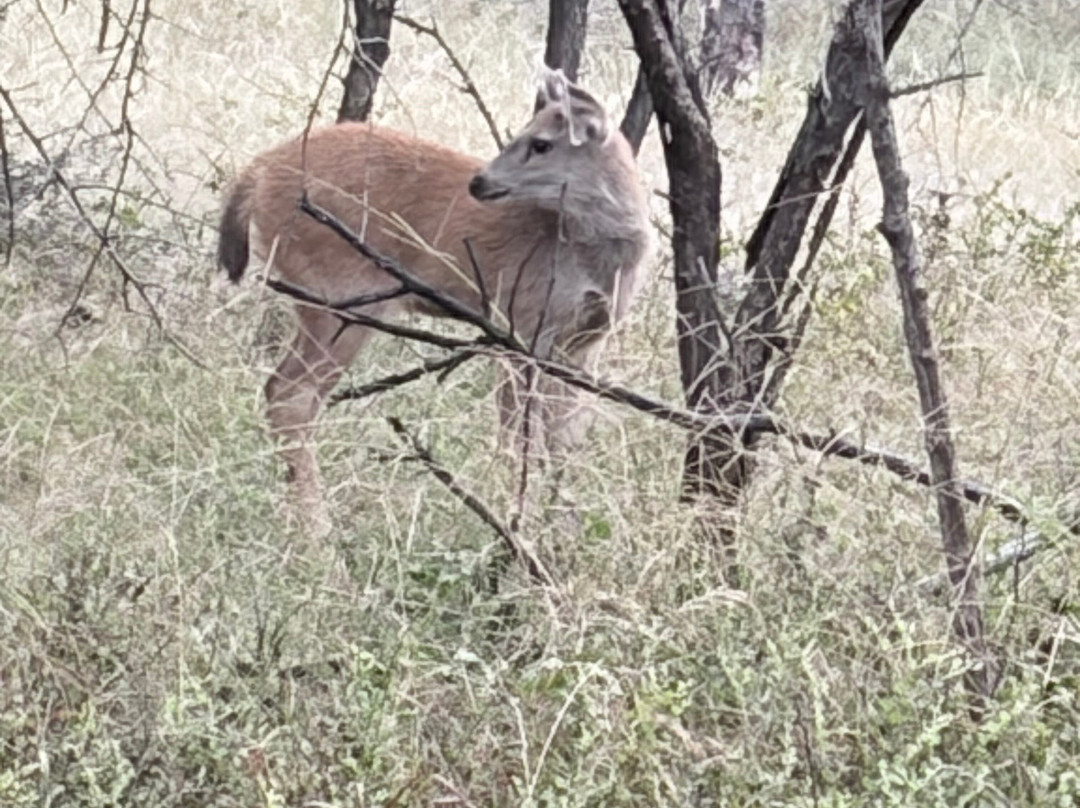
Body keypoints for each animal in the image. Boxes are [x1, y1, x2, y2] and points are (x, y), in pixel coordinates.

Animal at [217, 69, 653, 533]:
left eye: (541, 144)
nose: (478, 181)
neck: (590, 259)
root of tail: (258, 170)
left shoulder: (585, 342)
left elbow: (565, 438)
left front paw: (563, 524)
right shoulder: (521, 323)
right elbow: (519, 434)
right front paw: (518, 521)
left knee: (288, 391)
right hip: (341, 297)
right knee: (289, 393)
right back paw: (318, 529)